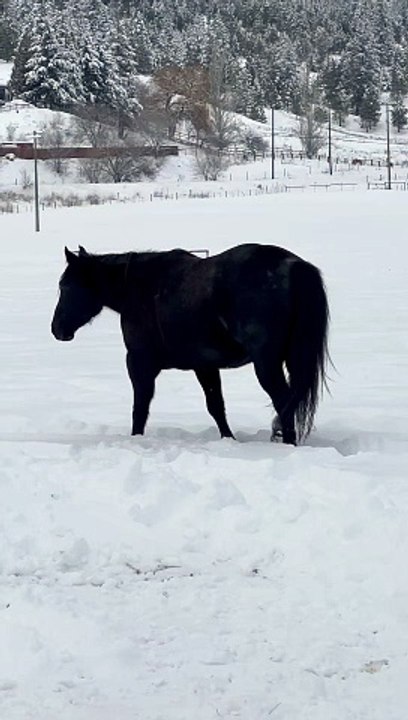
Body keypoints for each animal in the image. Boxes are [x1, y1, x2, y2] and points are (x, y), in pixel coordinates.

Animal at [51, 243, 330, 445]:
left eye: (65, 286)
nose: (57, 329)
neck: (142, 288)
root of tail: (294, 266)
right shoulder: (204, 366)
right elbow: (216, 406)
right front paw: (228, 440)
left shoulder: (139, 364)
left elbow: (140, 407)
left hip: (266, 364)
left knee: (284, 401)